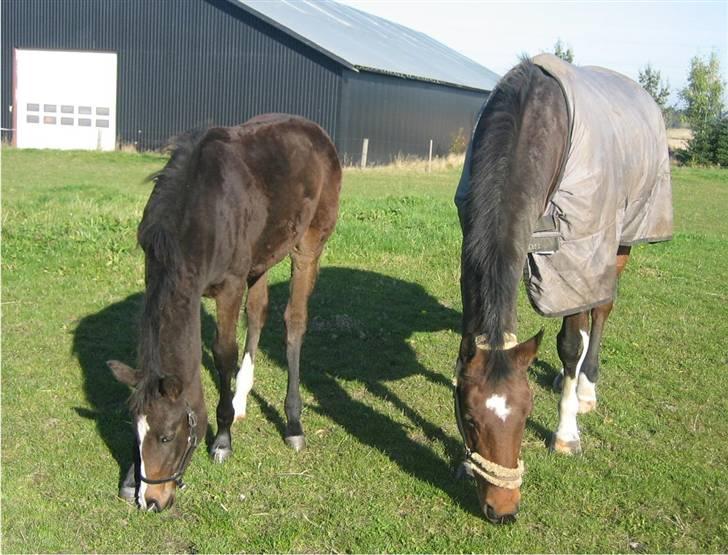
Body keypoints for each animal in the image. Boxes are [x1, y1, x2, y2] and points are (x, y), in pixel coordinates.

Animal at [105, 113, 342, 512]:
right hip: (263, 257)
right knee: (259, 313)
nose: (152, 500)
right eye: (136, 431)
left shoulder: (229, 286)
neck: (199, 211)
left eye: (168, 436)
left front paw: (222, 438)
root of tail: (317, 131)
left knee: (294, 323)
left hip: (308, 245)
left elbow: (222, 353)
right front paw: (128, 477)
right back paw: (242, 397)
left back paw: (293, 423)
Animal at [456, 56, 672, 524]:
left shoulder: (574, 255)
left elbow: (571, 341)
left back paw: (587, 385)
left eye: (526, 416)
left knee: (601, 308)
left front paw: (566, 433)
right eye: (471, 418)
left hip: (619, 240)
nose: (503, 510)